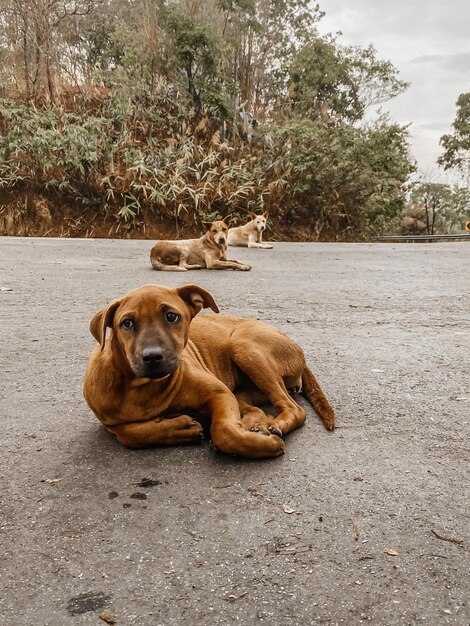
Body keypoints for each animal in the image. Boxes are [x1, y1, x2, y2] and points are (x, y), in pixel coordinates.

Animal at [83, 284, 334, 458]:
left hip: (244, 347)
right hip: (242, 388)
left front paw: (263, 445)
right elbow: (130, 434)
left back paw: (272, 426)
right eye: (126, 323)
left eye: (171, 316)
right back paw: (252, 425)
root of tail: (295, 346)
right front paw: (180, 429)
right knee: (257, 409)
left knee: (294, 409)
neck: (145, 388)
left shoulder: (218, 393)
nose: (153, 357)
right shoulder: (111, 421)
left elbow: (224, 432)